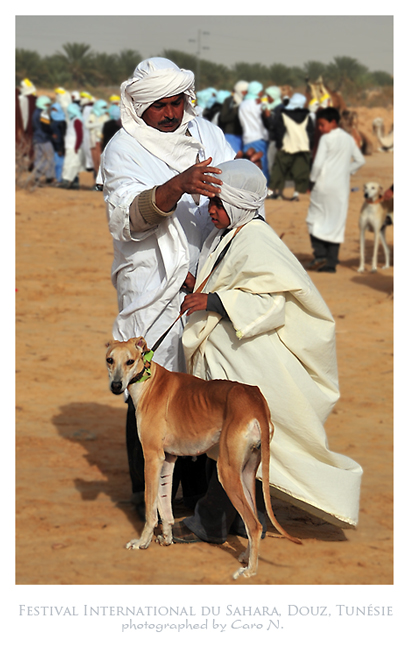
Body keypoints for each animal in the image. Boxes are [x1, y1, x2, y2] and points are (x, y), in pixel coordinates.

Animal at [107, 334, 302, 576]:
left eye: (130, 361)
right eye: (110, 360)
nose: (116, 386)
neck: (148, 381)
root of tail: (255, 400)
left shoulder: (152, 456)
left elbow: (151, 505)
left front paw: (142, 542)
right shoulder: (168, 459)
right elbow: (164, 504)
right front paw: (167, 537)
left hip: (227, 472)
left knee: (254, 525)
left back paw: (250, 571)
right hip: (246, 472)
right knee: (253, 519)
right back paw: (246, 557)